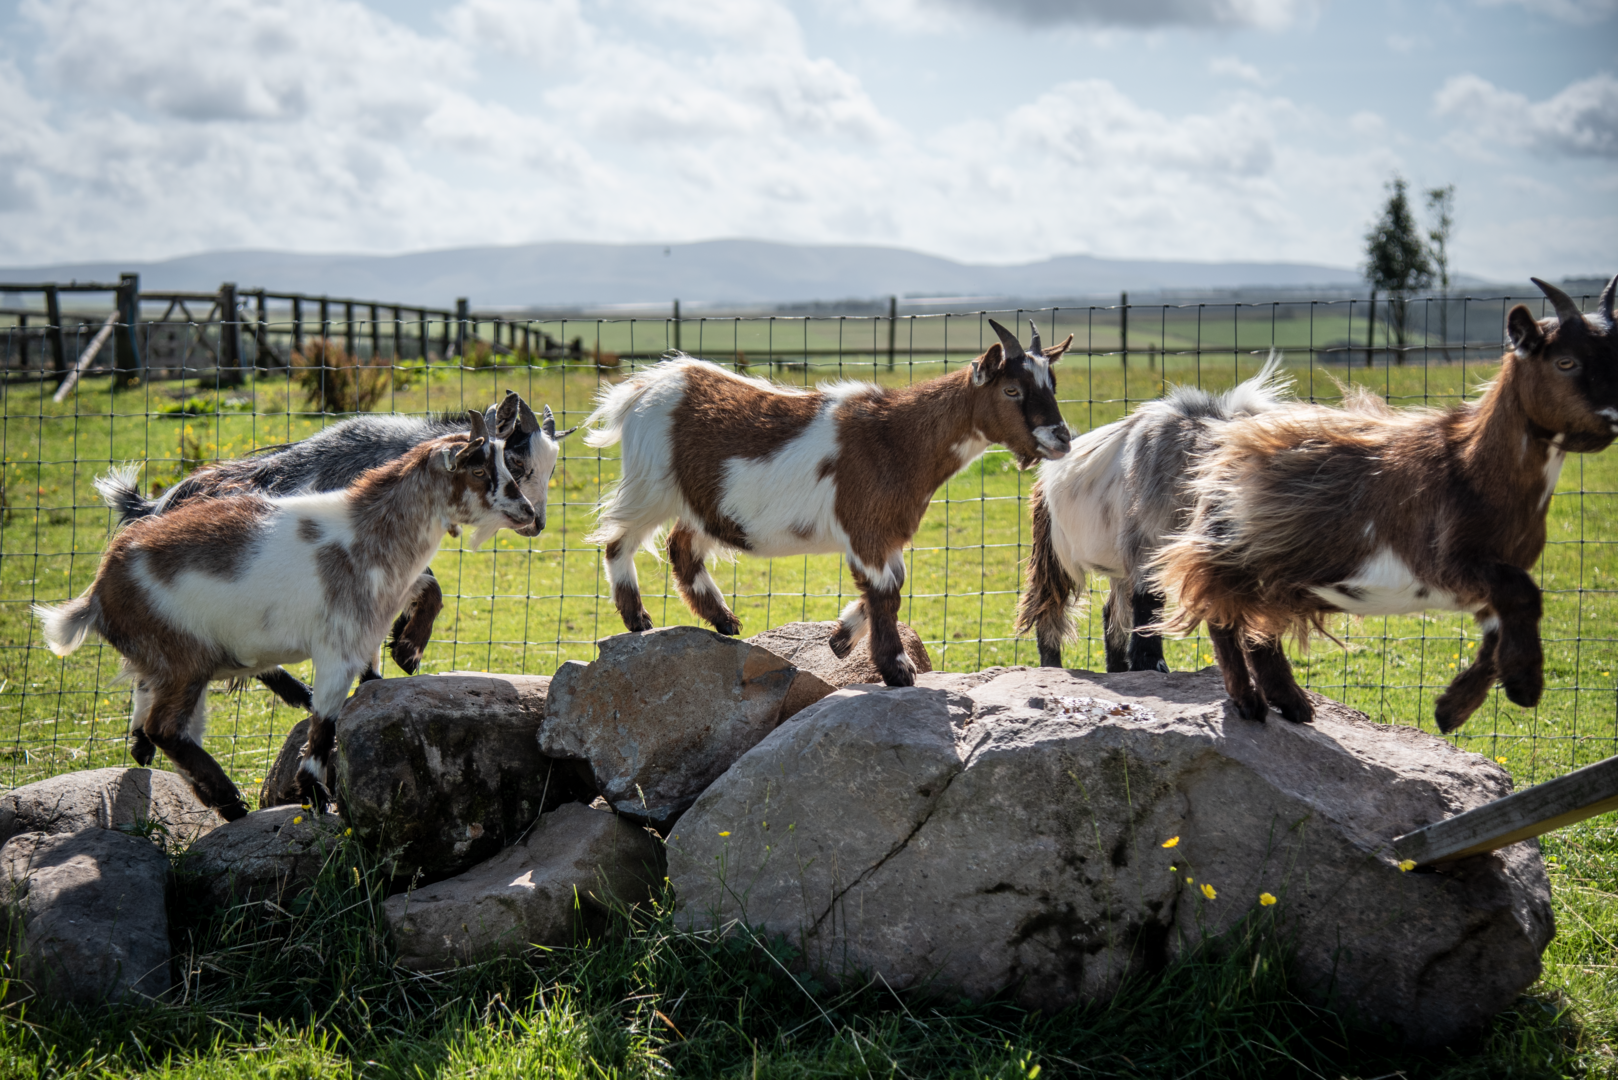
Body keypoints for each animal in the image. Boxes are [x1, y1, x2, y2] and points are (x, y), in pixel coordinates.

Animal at [35, 415, 537, 819]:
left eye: (509, 466)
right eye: (479, 469)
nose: (529, 513)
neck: (364, 533)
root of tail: (99, 591)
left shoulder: (370, 624)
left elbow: (391, 645)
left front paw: (405, 653)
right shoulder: (337, 648)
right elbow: (325, 723)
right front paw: (314, 793)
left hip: (174, 667)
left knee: (165, 721)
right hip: (182, 659)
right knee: (168, 728)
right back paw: (231, 799)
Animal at [95, 391, 570, 708]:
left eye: (551, 469)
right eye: (517, 463)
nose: (535, 520)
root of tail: (152, 507)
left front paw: (382, 665)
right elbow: (427, 588)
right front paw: (407, 651)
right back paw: (301, 694)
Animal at [583, 320, 1074, 686]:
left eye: (1052, 383)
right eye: (1011, 390)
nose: (1062, 438)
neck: (897, 437)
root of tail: (645, 386)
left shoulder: (886, 534)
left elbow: (891, 585)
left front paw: (840, 639)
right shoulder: (867, 529)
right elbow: (887, 591)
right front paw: (897, 670)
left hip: (703, 502)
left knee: (682, 547)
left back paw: (724, 621)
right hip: (651, 486)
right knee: (618, 540)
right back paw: (638, 619)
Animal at [1015, 354, 1294, 672]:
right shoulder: (1148, 541)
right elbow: (1150, 598)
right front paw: (1150, 662)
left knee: (1113, 612)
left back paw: (1118, 669)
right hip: (1052, 550)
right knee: (1048, 605)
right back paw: (1052, 665)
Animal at [1152, 276, 1618, 731]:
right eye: (1565, 362)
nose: (1615, 415)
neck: (1470, 468)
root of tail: (1229, 439)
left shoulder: (1492, 576)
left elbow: (1497, 628)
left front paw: (1452, 708)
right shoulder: (1446, 560)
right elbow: (1524, 593)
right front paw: (1523, 684)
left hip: (1275, 567)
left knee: (1260, 626)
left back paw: (1293, 703)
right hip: (1237, 550)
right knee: (1224, 616)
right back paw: (1250, 702)